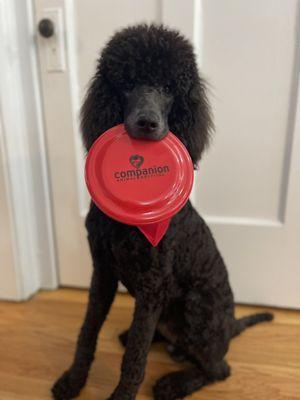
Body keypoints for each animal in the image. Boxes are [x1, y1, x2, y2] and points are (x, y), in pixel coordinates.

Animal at [51, 23, 272, 398]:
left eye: (169, 88)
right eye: (126, 84)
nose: (147, 123)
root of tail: (229, 326)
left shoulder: (153, 287)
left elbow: (135, 359)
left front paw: (121, 395)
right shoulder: (103, 272)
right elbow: (88, 331)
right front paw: (73, 380)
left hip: (196, 312)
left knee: (218, 368)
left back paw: (175, 383)